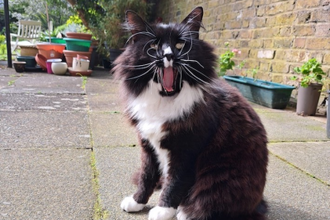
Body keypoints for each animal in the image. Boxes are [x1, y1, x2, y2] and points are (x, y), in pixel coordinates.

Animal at [113, 6, 268, 220]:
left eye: (180, 45)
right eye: (153, 45)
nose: (169, 55)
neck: (164, 102)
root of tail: (259, 204)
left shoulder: (187, 150)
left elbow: (175, 182)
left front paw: (163, 210)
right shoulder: (148, 146)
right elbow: (146, 176)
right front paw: (137, 202)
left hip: (219, 180)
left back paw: (186, 211)